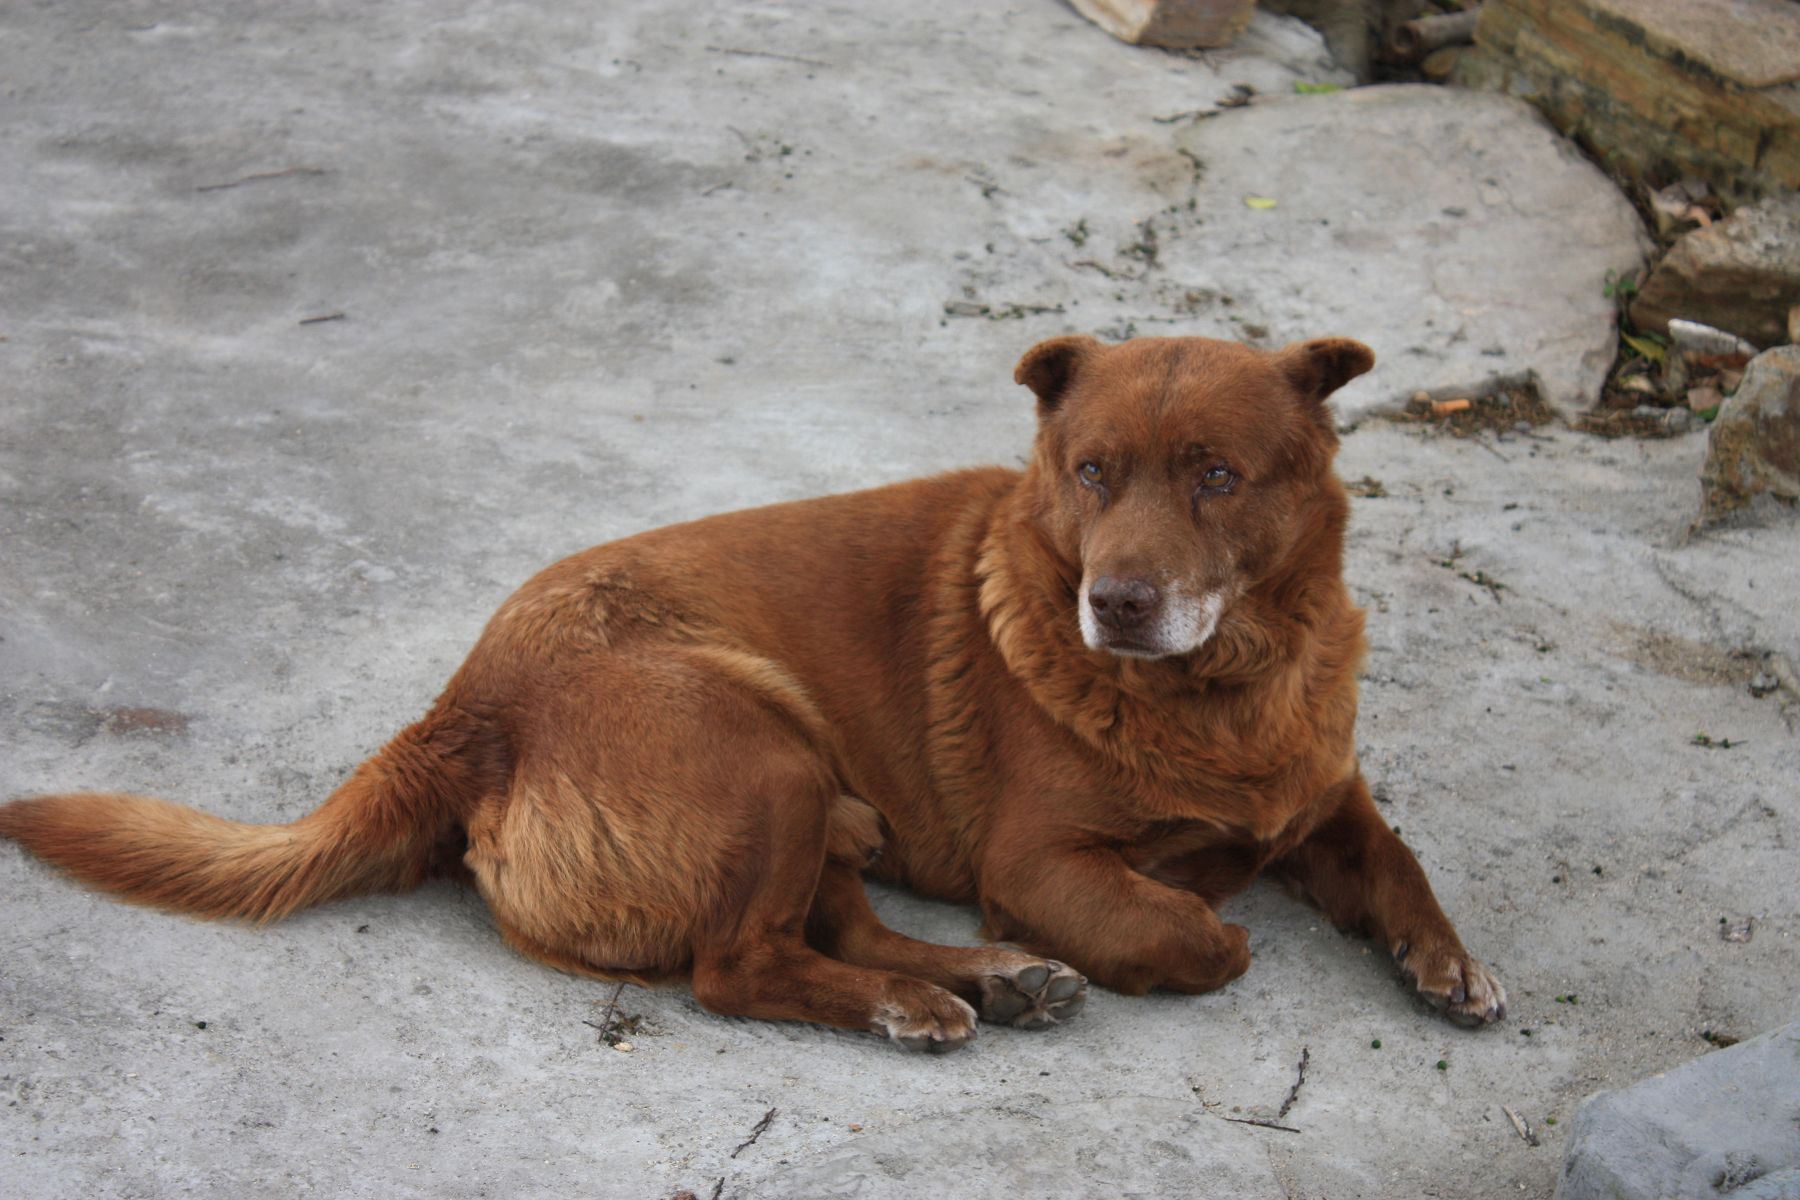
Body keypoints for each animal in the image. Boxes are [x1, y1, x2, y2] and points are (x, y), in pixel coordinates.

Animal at [0, 334, 1506, 1052]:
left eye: (1217, 477)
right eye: (1091, 473)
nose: (1117, 603)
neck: (1226, 691)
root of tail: (462, 709)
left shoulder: (1327, 795)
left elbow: (1400, 861)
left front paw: (1448, 963)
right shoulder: (1039, 863)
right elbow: (1200, 935)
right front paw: (1206, 912)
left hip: (820, 790)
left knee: (838, 929)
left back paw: (994, 981)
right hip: (762, 750)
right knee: (741, 968)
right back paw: (935, 1004)